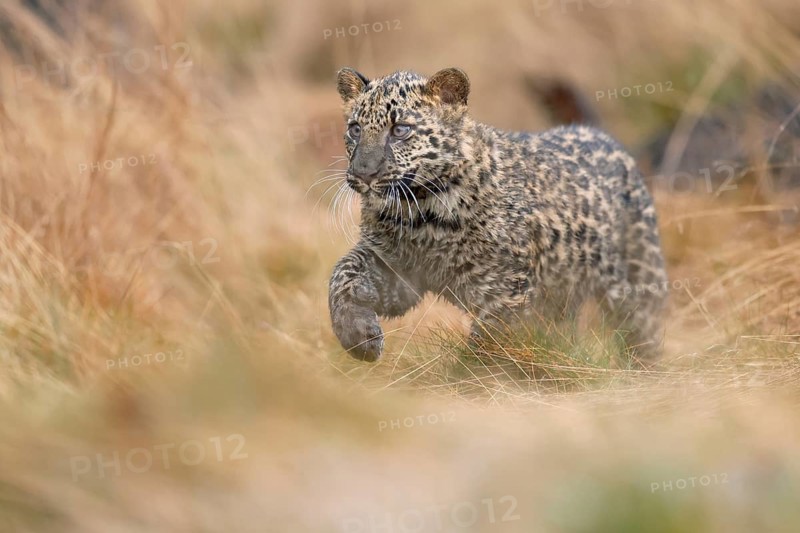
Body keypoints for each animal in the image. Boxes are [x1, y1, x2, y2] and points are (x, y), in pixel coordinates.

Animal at [328, 67, 668, 364]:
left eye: (400, 130)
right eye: (355, 130)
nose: (364, 173)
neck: (422, 213)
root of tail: (601, 135)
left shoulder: (504, 290)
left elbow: (490, 344)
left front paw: (471, 380)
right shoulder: (393, 266)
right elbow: (342, 274)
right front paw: (358, 335)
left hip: (638, 274)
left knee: (643, 327)